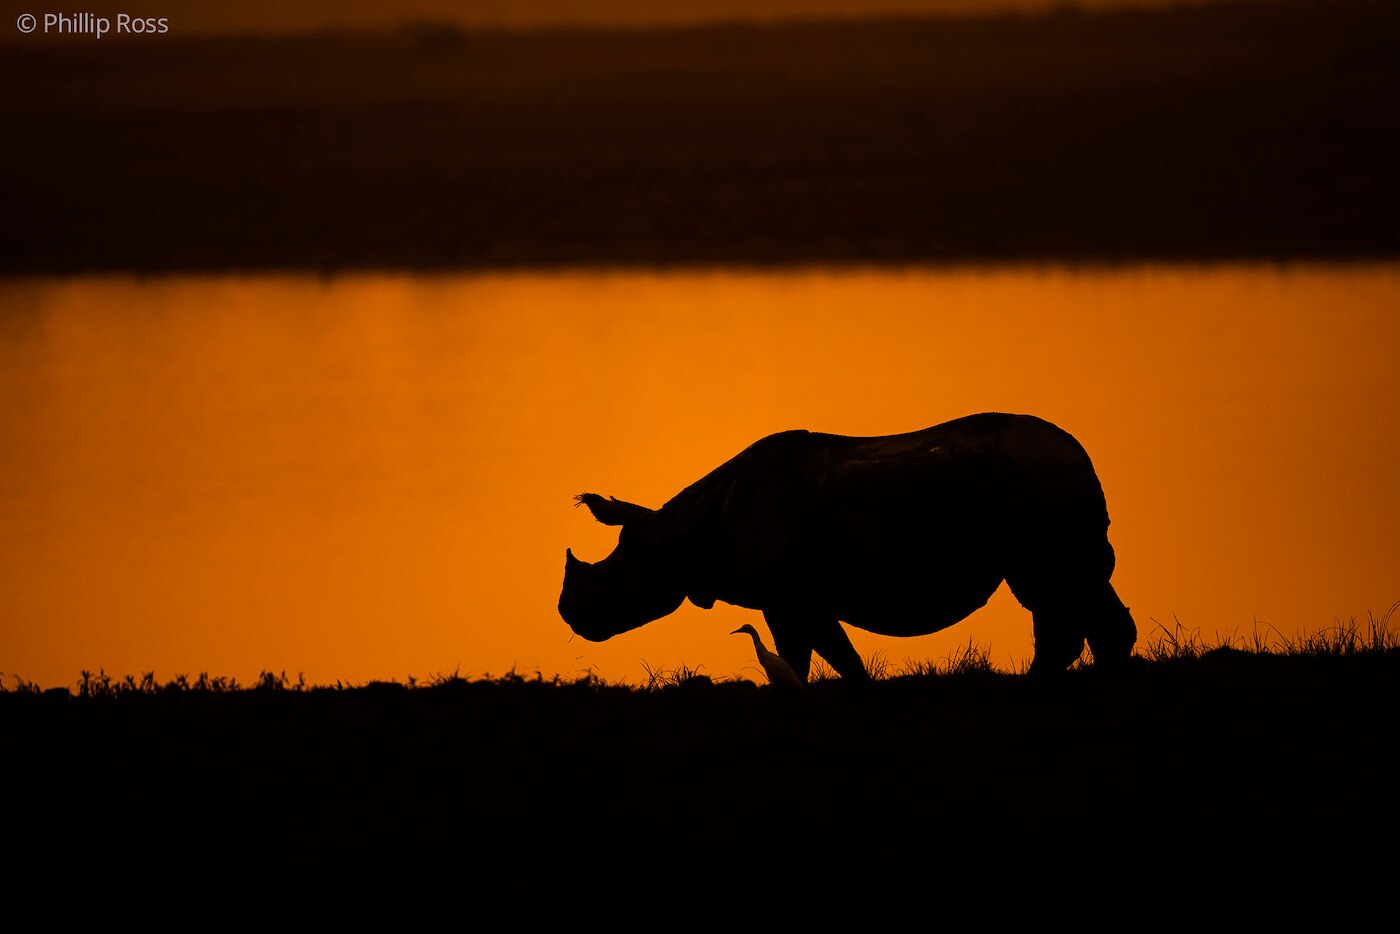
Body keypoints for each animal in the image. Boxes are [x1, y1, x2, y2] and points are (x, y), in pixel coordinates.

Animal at [559, 412, 1135, 680]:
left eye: (612, 573)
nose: (567, 614)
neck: (675, 532)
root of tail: (1080, 453)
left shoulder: (795, 592)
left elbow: (835, 651)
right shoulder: (777, 597)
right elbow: (795, 655)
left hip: (1039, 483)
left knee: (1056, 588)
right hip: (1046, 490)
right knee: (1068, 590)